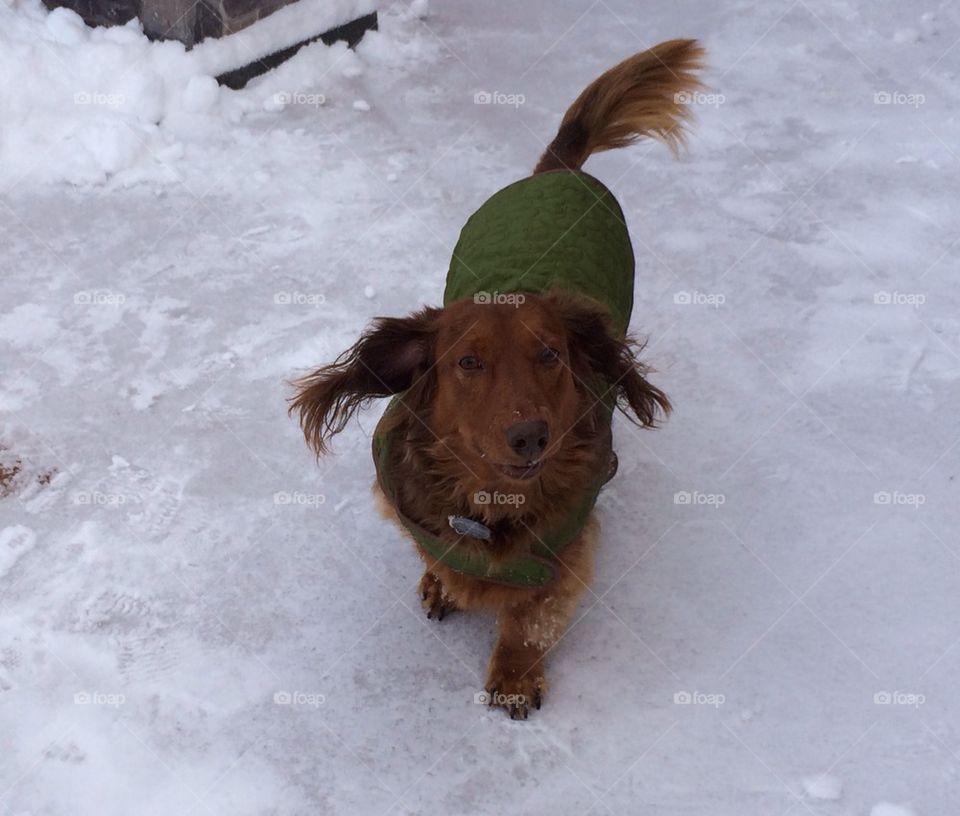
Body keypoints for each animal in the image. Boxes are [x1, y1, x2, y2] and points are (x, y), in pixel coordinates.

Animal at [292, 38, 704, 716]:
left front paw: (514, 675)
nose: (530, 435)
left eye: (551, 355)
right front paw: (442, 583)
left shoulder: (567, 550)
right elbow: (439, 557)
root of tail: (558, 172)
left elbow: (530, 615)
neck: (488, 502)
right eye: (468, 362)